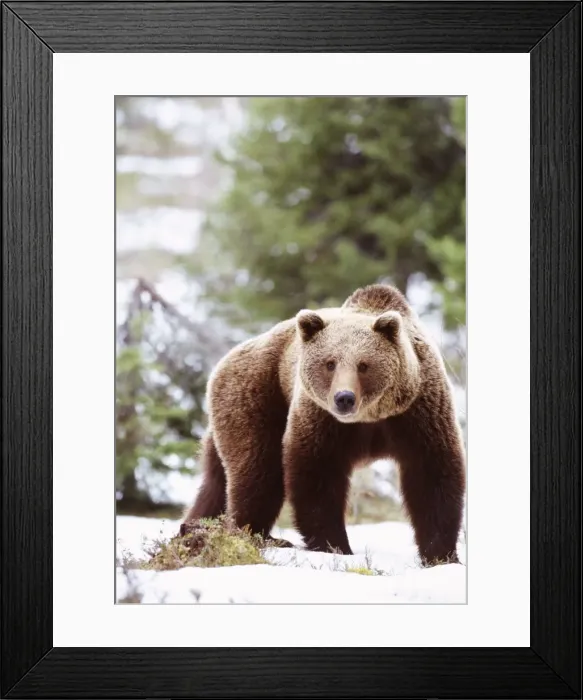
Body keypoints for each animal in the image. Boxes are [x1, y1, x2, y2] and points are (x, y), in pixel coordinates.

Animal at [183, 283, 466, 566]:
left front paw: (441, 554)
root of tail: (227, 358)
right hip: (257, 396)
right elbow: (316, 475)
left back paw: (196, 526)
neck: (370, 416)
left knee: (216, 479)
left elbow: (432, 476)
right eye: (330, 363)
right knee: (257, 469)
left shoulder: (416, 414)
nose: (344, 398)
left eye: (364, 365)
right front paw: (335, 545)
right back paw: (250, 534)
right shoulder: (321, 418)